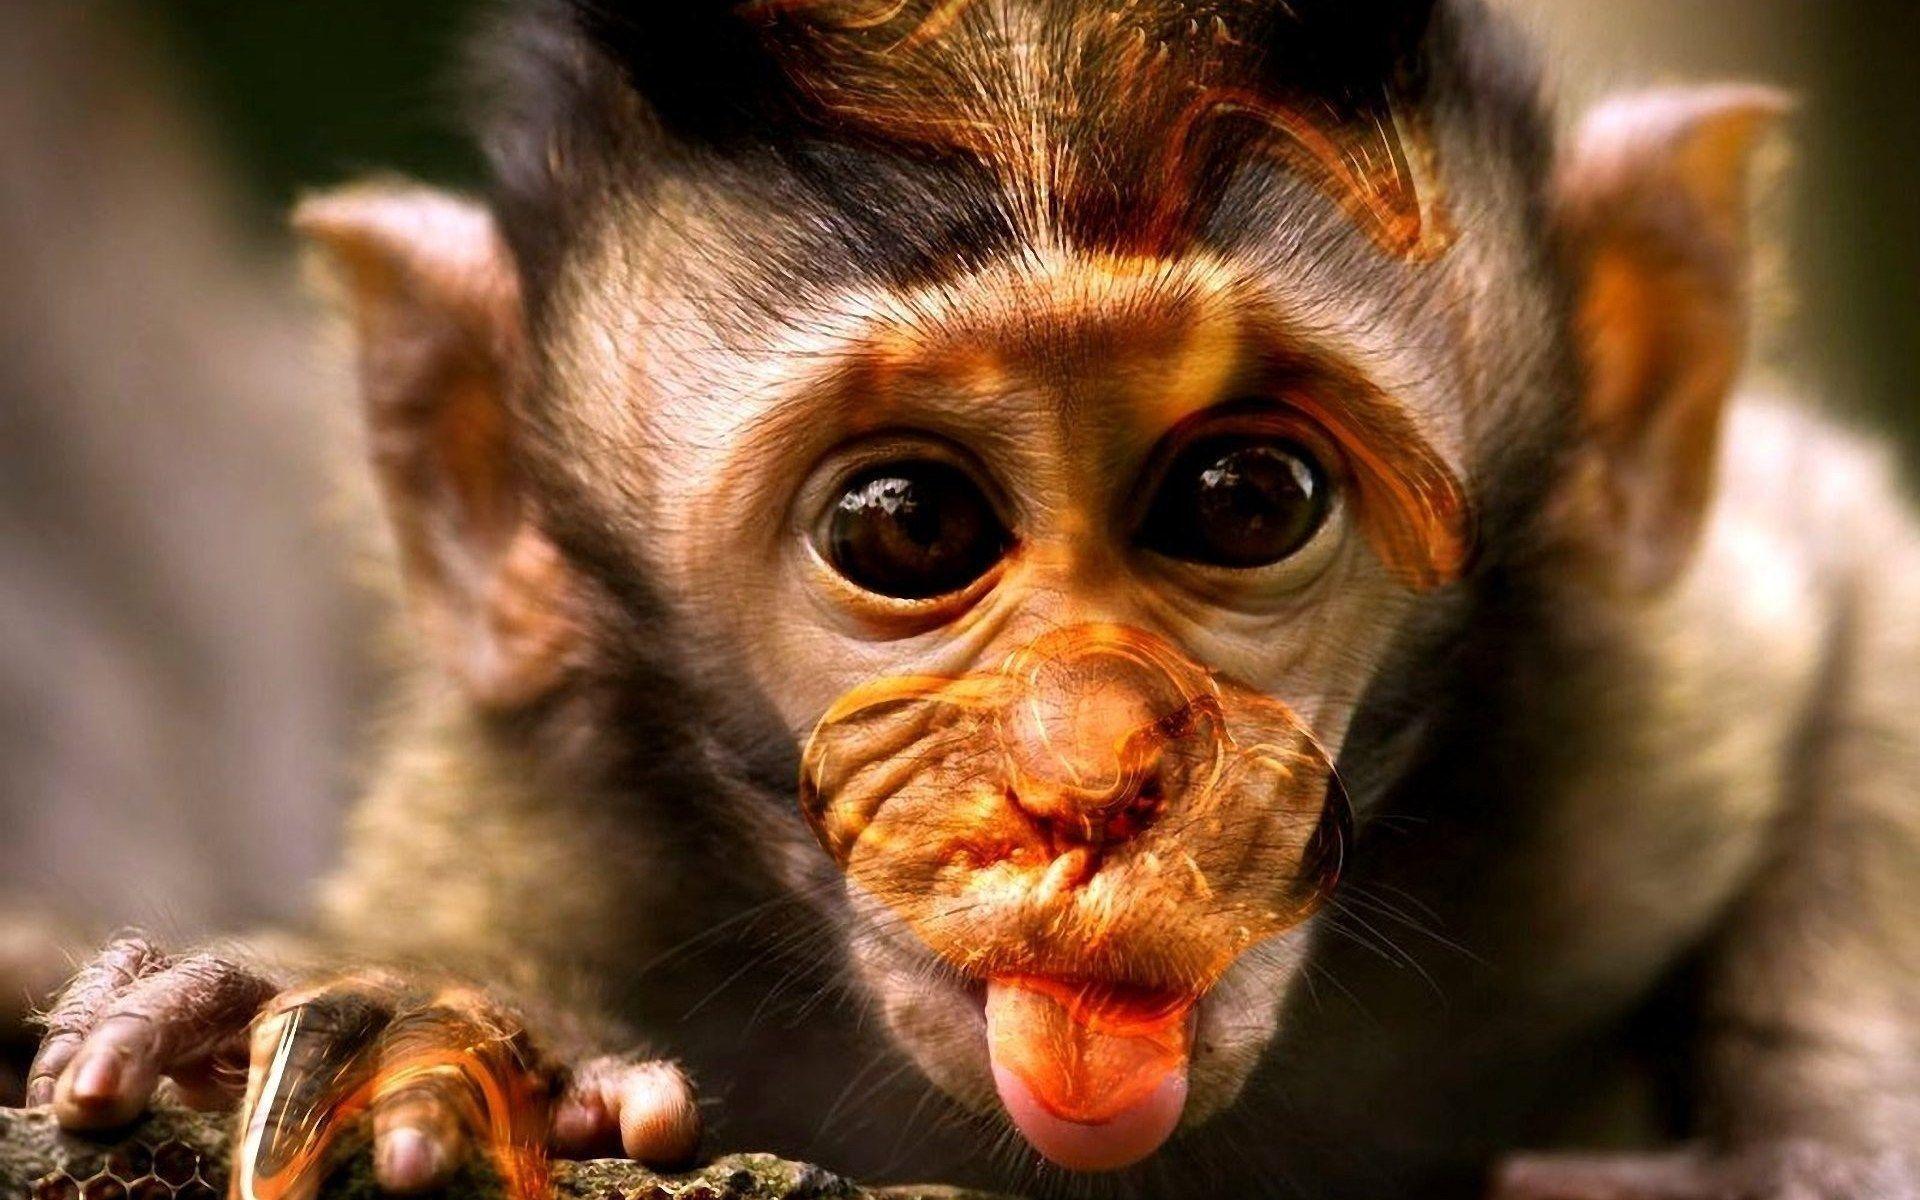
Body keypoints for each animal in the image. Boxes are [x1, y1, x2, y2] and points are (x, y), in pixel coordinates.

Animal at [21, 1, 1920, 1197]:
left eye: (1244, 499)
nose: (1095, 772)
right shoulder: (535, 824)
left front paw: (1815, 1146)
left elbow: (1852, 572)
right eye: (908, 524)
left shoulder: (1639, 724)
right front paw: (405, 1021)